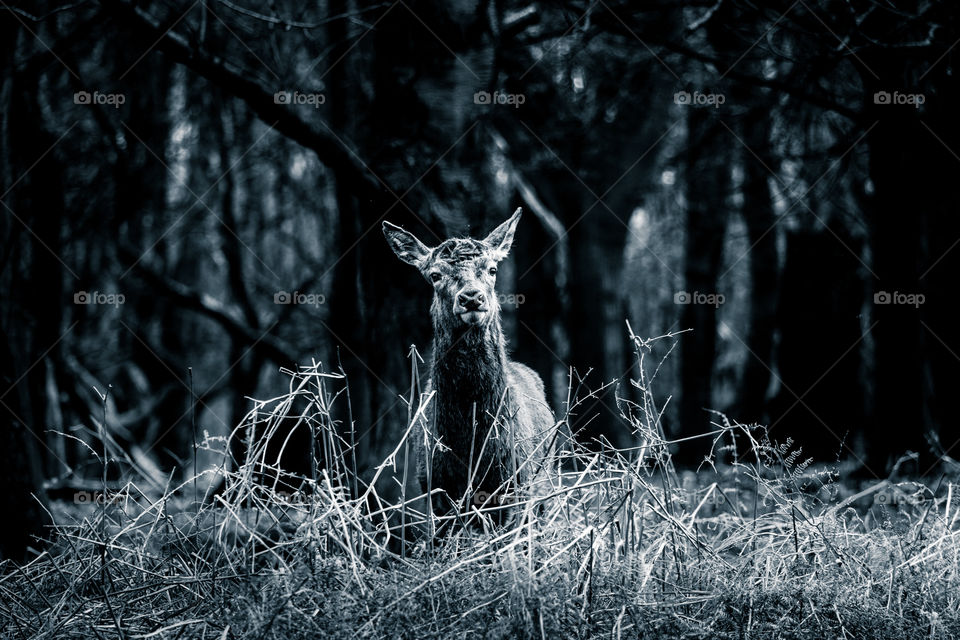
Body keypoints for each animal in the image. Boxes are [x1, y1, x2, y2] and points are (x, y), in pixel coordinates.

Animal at [382, 208, 556, 524]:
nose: (472, 297)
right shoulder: (436, 489)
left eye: (492, 269)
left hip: (546, 480)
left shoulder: (517, 483)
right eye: (435, 274)